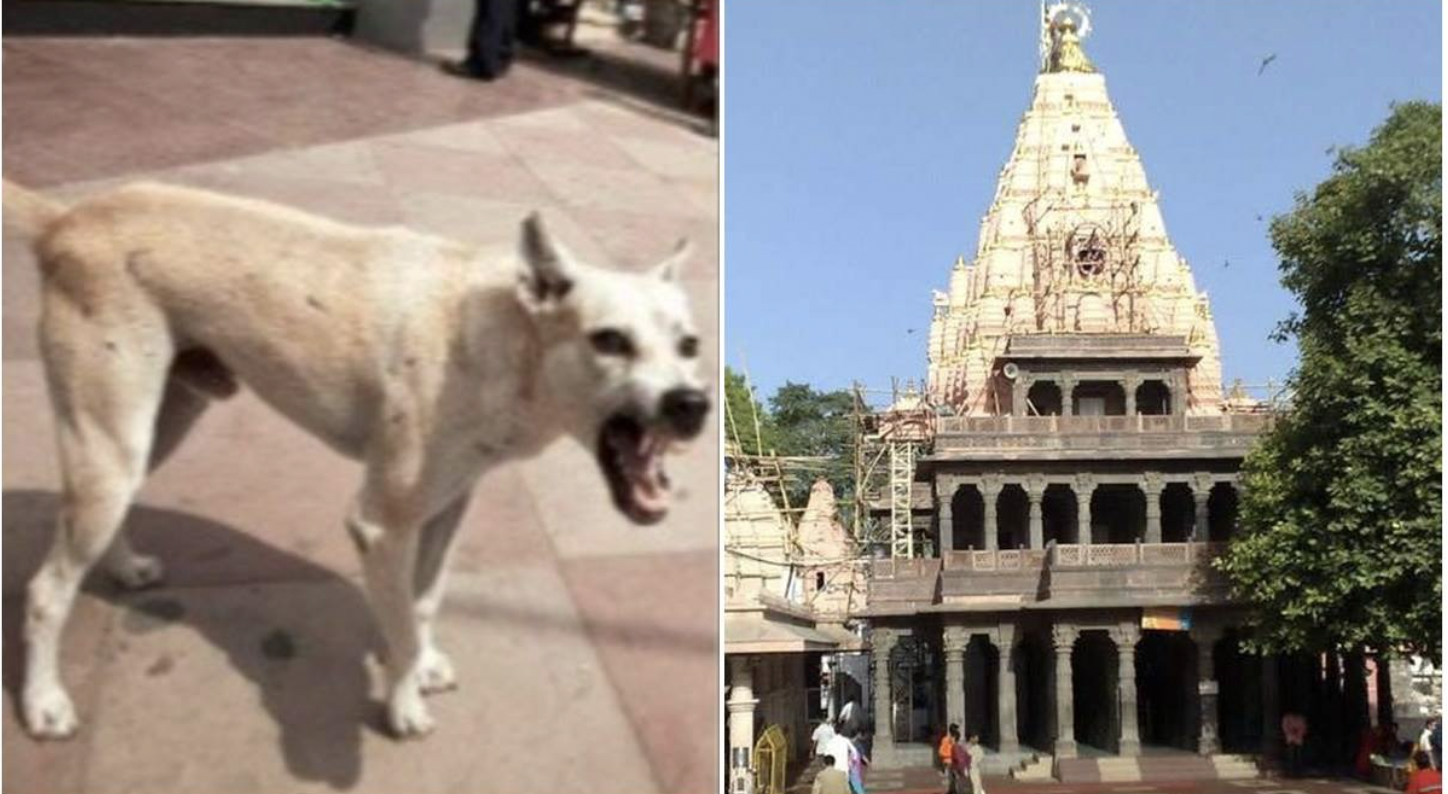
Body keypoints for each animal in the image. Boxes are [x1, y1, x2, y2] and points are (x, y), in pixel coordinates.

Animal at [1, 179, 712, 738]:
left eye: (689, 345)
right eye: (609, 340)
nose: (693, 404)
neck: (503, 341)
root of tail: (65, 218)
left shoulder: (448, 505)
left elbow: (422, 601)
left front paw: (422, 664)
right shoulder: (380, 523)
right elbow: (397, 621)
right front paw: (403, 702)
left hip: (153, 429)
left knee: (90, 525)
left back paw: (123, 568)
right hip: (112, 442)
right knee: (46, 589)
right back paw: (43, 704)